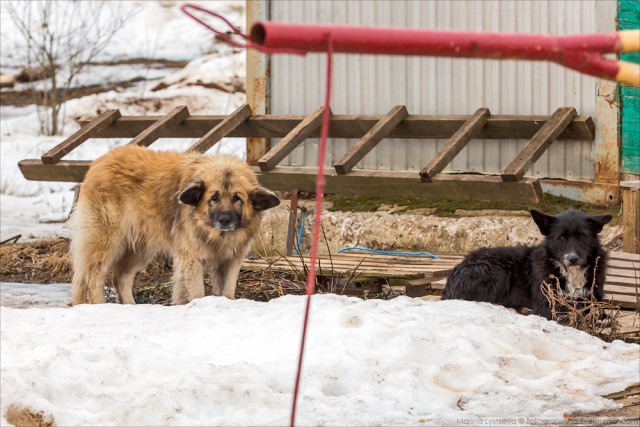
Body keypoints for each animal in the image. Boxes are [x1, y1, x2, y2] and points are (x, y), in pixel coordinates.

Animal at [70, 146, 280, 304]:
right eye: (214, 198)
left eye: (237, 199)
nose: (224, 220)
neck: (215, 236)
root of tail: (99, 162)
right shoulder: (191, 258)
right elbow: (197, 292)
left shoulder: (230, 261)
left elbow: (226, 292)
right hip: (108, 241)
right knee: (93, 278)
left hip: (141, 248)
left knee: (120, 278)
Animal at [442, 209, 612, 320]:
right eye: (561, 237)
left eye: (582, 236)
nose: (572, 258)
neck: (571, 272)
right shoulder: (546, 304)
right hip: (496, 271)